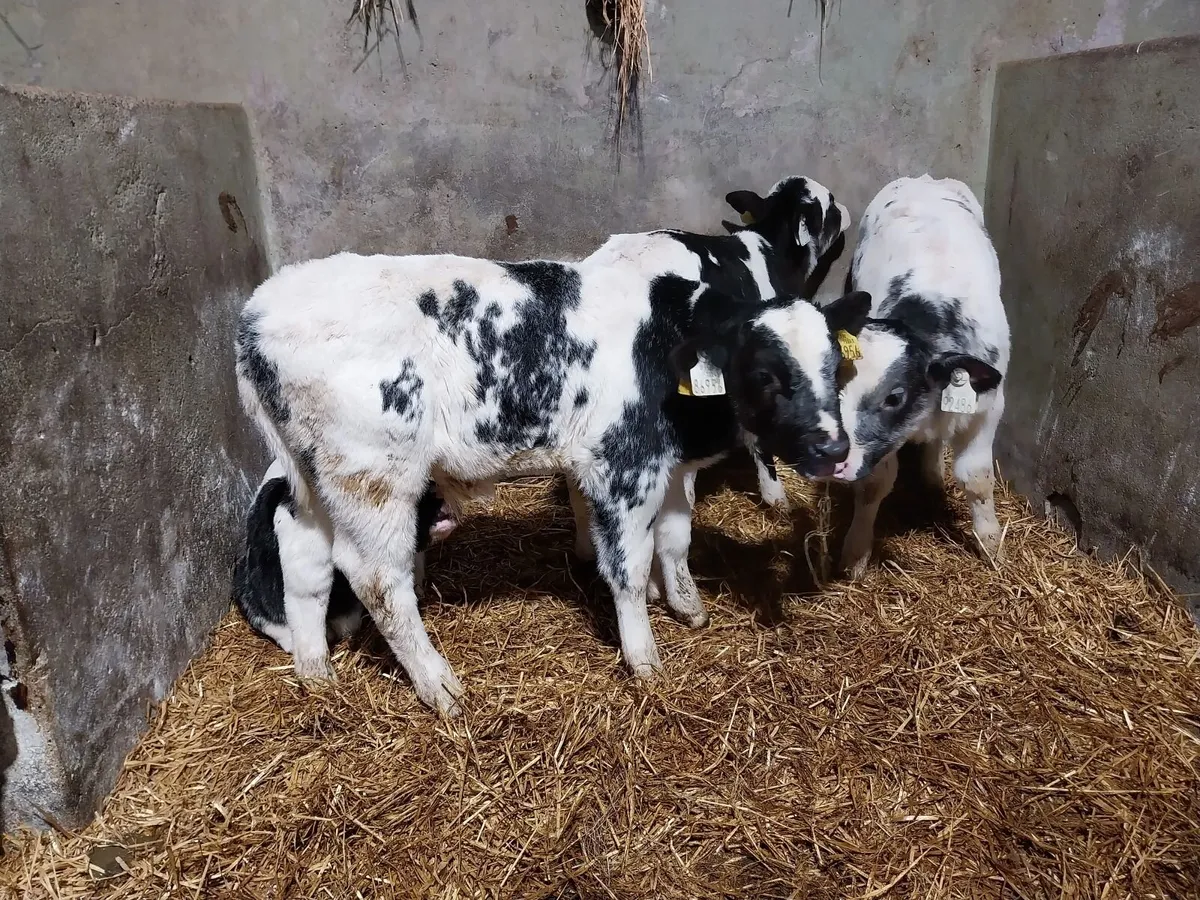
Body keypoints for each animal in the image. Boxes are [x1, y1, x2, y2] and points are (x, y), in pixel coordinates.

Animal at [235, 175, 869, 715]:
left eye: (834, 366)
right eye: (764, 374)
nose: (835, 449)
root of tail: (258, 313)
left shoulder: (664, 462)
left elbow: (673, 536)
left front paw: (687, 605)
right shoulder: (621, 464)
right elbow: (628, 564)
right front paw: (645, 659)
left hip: (315, 476)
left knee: (306, 556)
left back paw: (316, 671)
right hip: (374, 477)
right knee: (376, 579)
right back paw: (439, 686)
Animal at [832, 174, 1010, 577]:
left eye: (894, 396)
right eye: (836, 383)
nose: (834, 460)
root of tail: (925, 179)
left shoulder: (990, 406)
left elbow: (977, 478)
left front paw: (991, 545)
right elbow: (874, 485)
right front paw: (855, 553)